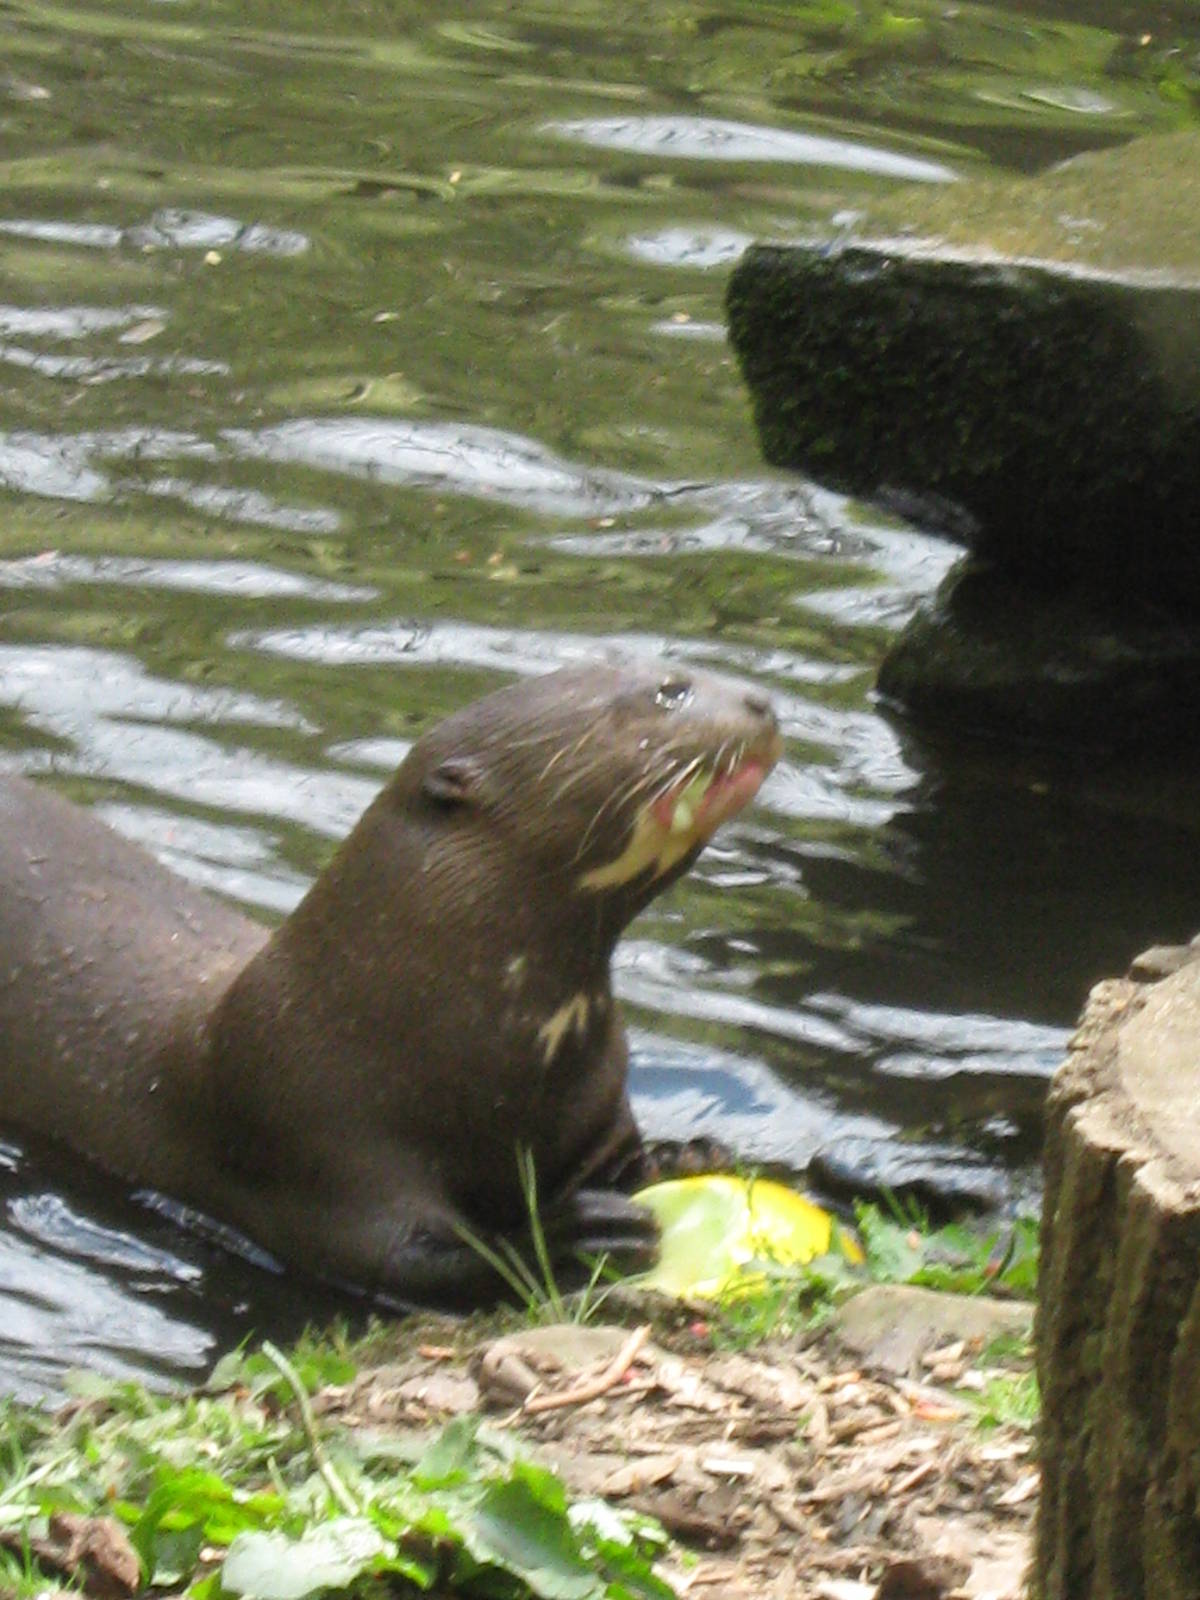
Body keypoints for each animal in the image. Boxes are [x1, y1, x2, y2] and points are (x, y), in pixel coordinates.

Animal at [0, 659, 781, 1304]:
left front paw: (685, 1155)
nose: (765, 701)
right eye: (670, 689)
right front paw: (566, 1237)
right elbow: (401, 1259)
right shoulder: (316, 1139)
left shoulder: (590, 1102)